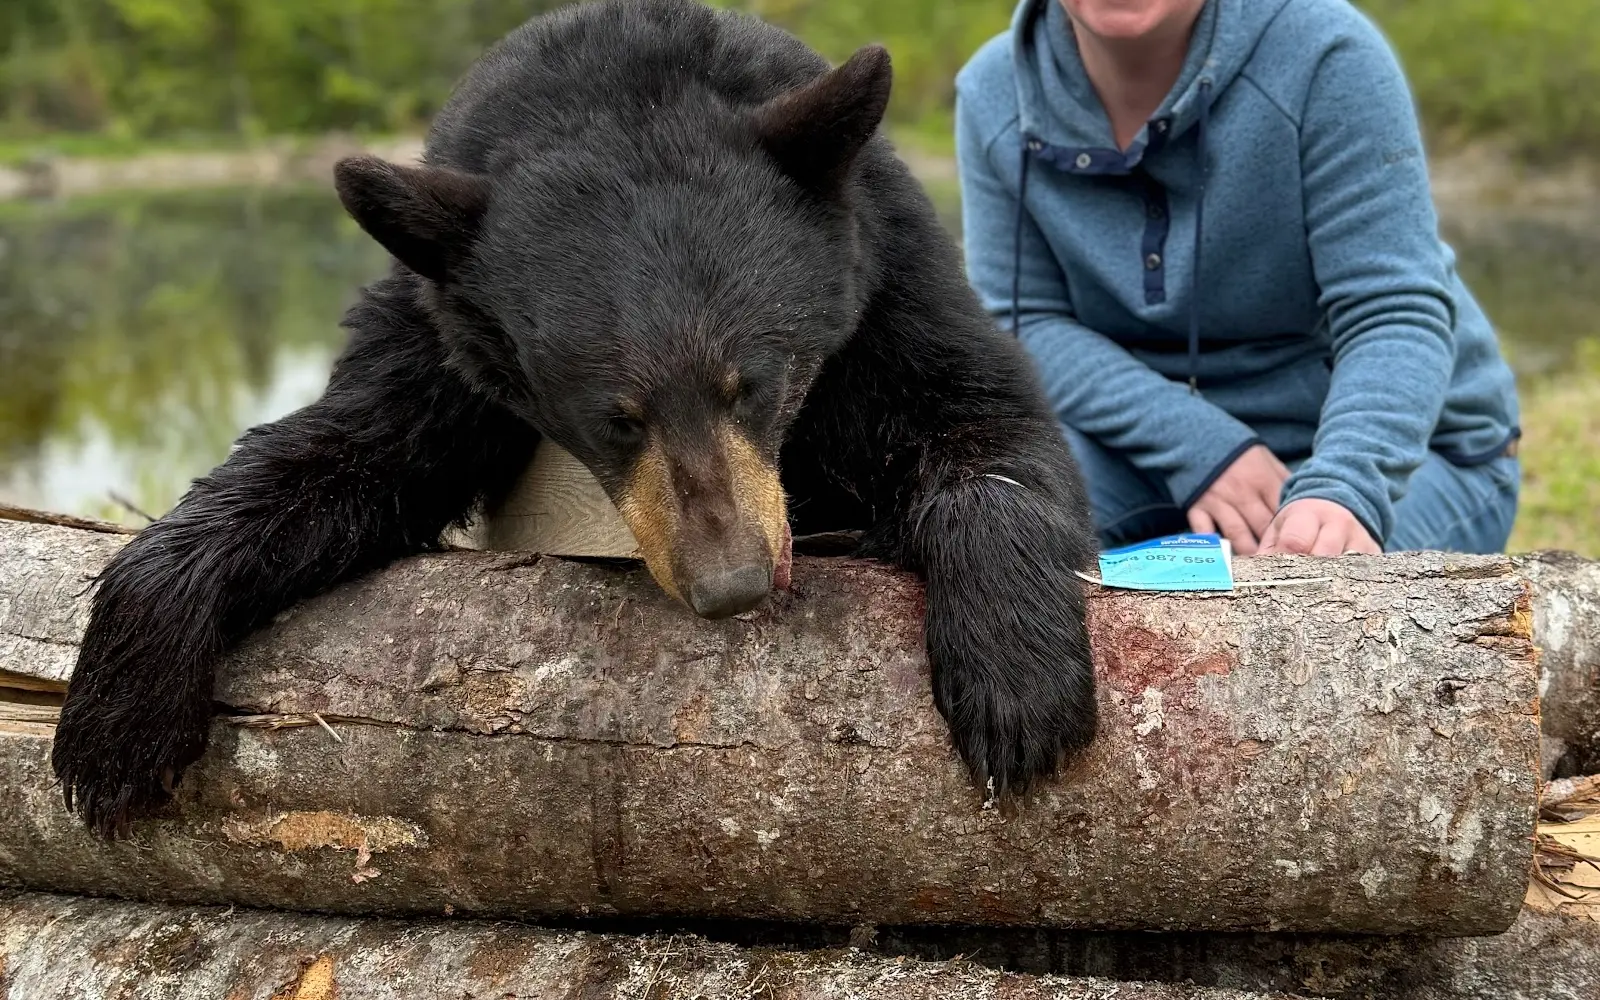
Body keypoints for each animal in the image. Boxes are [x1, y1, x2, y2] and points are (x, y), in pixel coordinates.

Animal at [51, 0, 1100, 838]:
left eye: (752, 383)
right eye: (614, 419)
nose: (731, 583)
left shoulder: (890, 284)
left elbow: (986, 426)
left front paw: (1016, 687)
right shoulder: (439, 336)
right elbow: (343, 453)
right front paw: (114, 722)